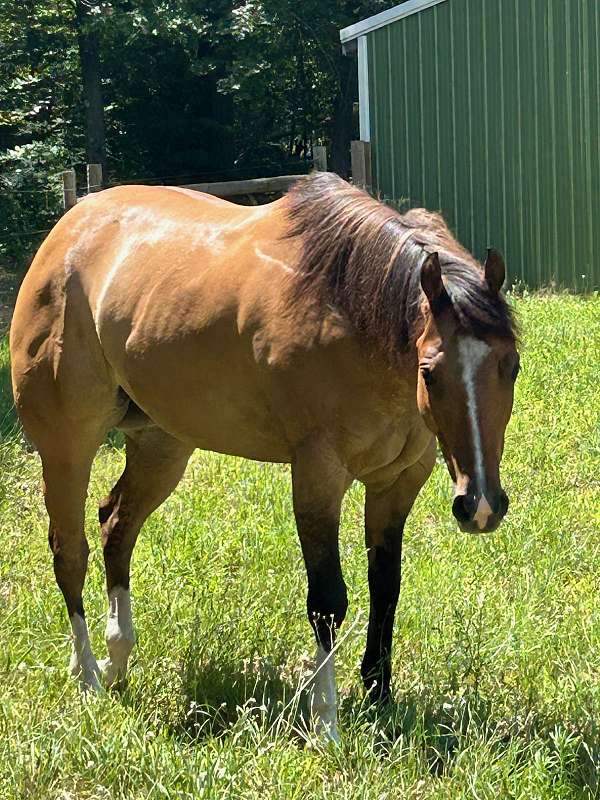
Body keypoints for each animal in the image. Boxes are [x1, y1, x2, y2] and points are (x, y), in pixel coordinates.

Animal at [9, 172, 516, 740]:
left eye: (512, 365)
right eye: (429, 371)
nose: (481, 506)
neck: (351, 308)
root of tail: (68, 231)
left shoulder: (399, 482)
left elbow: (386, 587)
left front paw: (380, 699)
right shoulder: (318, 475)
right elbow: (328, 601)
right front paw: (326, 723)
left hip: (162, 446)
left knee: (116, 525)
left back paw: (117, 658)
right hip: (66, 444)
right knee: (69, 552)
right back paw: (89, 678)